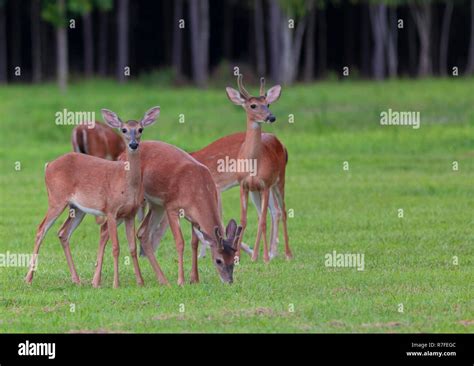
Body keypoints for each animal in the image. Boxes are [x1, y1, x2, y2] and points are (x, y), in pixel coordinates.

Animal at [25, 107, 161, 288]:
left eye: (140, 129)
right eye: (124, 130)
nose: (133, 144)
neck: (126, 183)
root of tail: (48, 165)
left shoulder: (129, 214)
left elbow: (132, 247)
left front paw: (140, 282)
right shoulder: (111, 210)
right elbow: (116, 247)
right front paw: (115, 284)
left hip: (77, 208)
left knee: (63, 233)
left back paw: (76, 279)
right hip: (56, 199)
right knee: (41, 229)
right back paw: (28, 278)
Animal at [91, 140, 244, 286]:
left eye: (235, 259)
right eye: (218, 260)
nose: (229, 281)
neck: (197, 189)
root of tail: (121, 155)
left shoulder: (194, 219)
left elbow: (194, 243)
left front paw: (194, 278)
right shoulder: (172, 207)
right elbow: (180, 242)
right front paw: (181, 281)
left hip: (156, 206)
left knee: (139, 232)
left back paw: (161, 279)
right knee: (109, 228)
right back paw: (97, 281)